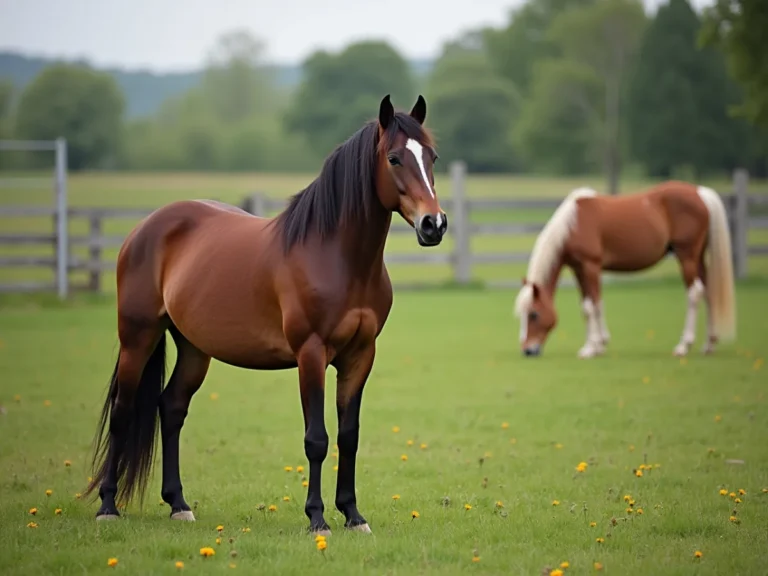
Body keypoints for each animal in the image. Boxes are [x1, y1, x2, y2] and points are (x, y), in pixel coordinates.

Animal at [83, 94, 448, 537]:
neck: (336, 256)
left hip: (194, 348)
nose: (434, 224)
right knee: (123, 410)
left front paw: (353, 515)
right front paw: (317, 518)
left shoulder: (360, 356)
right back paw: (107, 507)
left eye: (431, 156)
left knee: (171, 408)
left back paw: (179, 505)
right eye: (394, 158)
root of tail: (143, 229)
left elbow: (349, 436)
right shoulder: (311, 355)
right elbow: (317, 439)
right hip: (138, 337)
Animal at [513, 180, 736, 359]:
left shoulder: (590, 267)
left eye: (534, 314)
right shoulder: (578, 270)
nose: (528, 350)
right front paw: (595, 345)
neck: (573, 224)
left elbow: (592, 305)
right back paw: (709, 345)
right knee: (708, 292)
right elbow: (589, 306)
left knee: (694, 293)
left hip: (686, 257)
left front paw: (593, 348)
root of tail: (701, 193)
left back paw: (684, 346)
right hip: (698, 259)